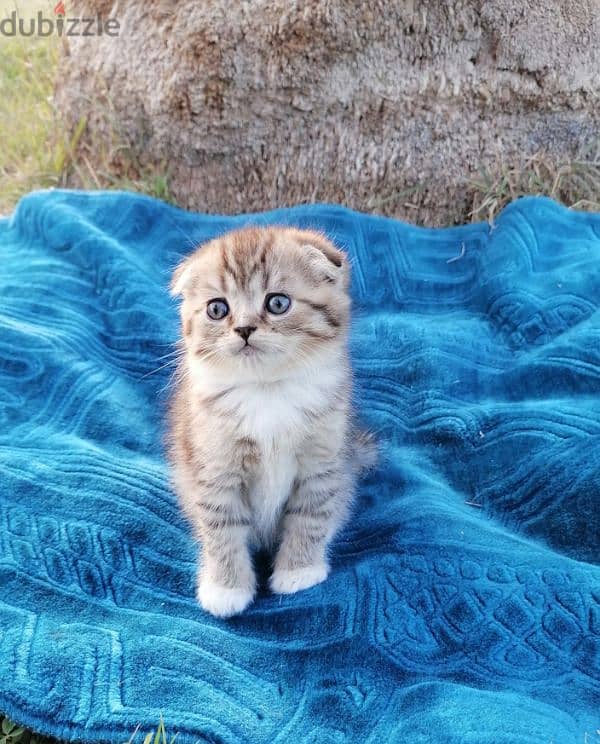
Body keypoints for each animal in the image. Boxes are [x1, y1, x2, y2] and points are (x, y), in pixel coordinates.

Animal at [166, 225, 372, 616]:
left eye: (277, 303)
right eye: (217, 309)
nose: (244, 329)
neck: (267, 391)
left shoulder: (322, 460)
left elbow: (310, 515)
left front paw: (299, 570)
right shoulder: (215, 465)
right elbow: (221, 527)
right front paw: (226, 586)